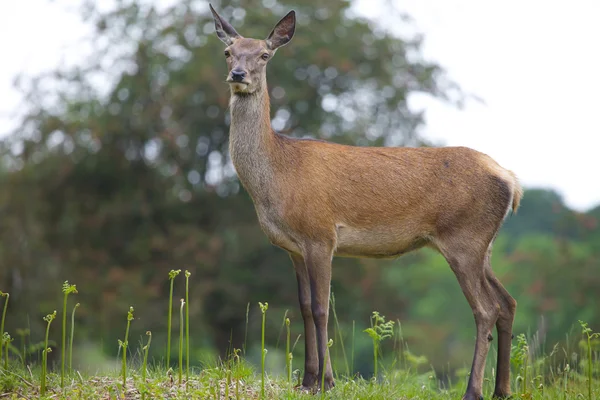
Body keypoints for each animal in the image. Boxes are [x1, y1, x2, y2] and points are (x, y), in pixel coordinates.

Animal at [210, 4, 520, 398]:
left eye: (264, 55)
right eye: (228, 51)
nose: (238, 74)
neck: (278, 176)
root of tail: (511, 180)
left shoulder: (321, 235)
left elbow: (322, 308)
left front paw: (327, 381)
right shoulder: (294, 247)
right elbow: (305, 308)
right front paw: (306, 380)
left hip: (464, 240)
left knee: (486, 308)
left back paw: (473, 390)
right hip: (484, 246)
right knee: (507, 302)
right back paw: (502, 389)